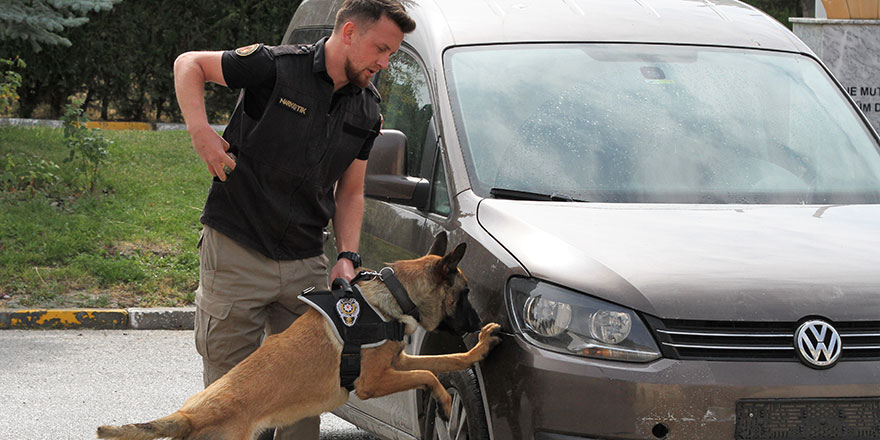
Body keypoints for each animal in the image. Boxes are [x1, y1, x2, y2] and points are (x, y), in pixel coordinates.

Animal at [94, 232, 502, 438]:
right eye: (465, 293)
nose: (474, 323)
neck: (394, 295)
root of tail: (189, 415)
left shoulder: (397, 361)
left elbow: (443, 361)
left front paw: (477, 350)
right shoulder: (374, 382)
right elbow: (429, 373)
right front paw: (446, 403)